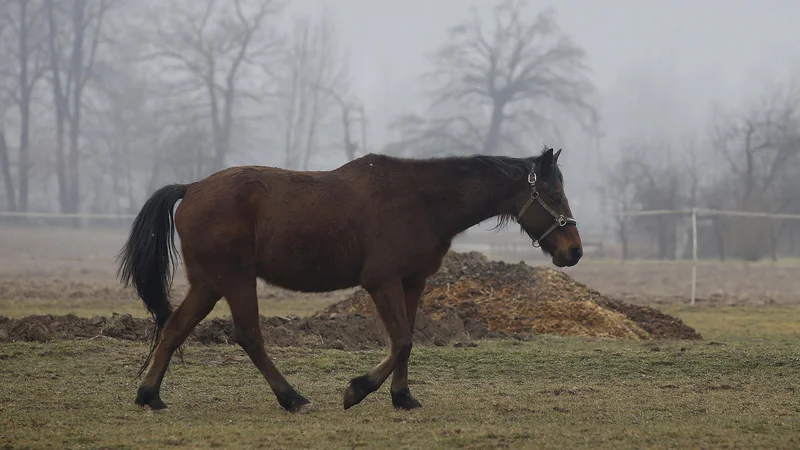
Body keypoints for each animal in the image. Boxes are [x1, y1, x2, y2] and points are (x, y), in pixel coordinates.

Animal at [117, 146, 580, 414]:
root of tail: (192, 188)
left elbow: (408, 340)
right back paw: (293, 399)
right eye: (554, 195)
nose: (573, 251)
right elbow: (402, 341)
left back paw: (150, 395)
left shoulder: (412, 283)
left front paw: (402, 397)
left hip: (209, 285)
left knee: (175, 329)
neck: (422, 200)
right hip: (234, 281)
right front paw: (358, 390)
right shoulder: (381, 281)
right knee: (248, 336)